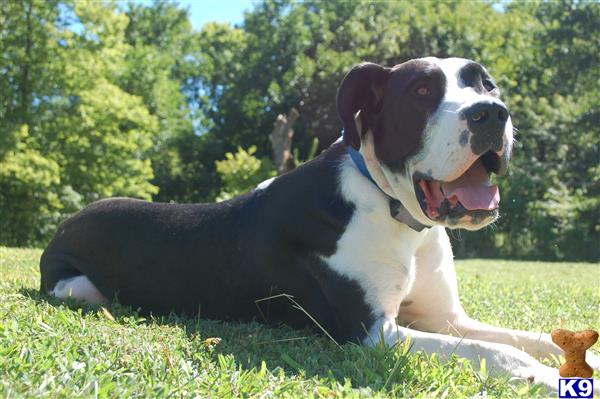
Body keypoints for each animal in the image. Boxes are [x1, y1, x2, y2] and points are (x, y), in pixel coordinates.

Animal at [39, 57, 596, 396]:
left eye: (487, 84)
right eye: (421, 90)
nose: (491, 114)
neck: (394, 211)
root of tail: (68, 222)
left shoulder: (446, 319)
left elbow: (523, 337)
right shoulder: (372, 334)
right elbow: (499, 352)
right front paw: (546, 377)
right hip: (76, 287)